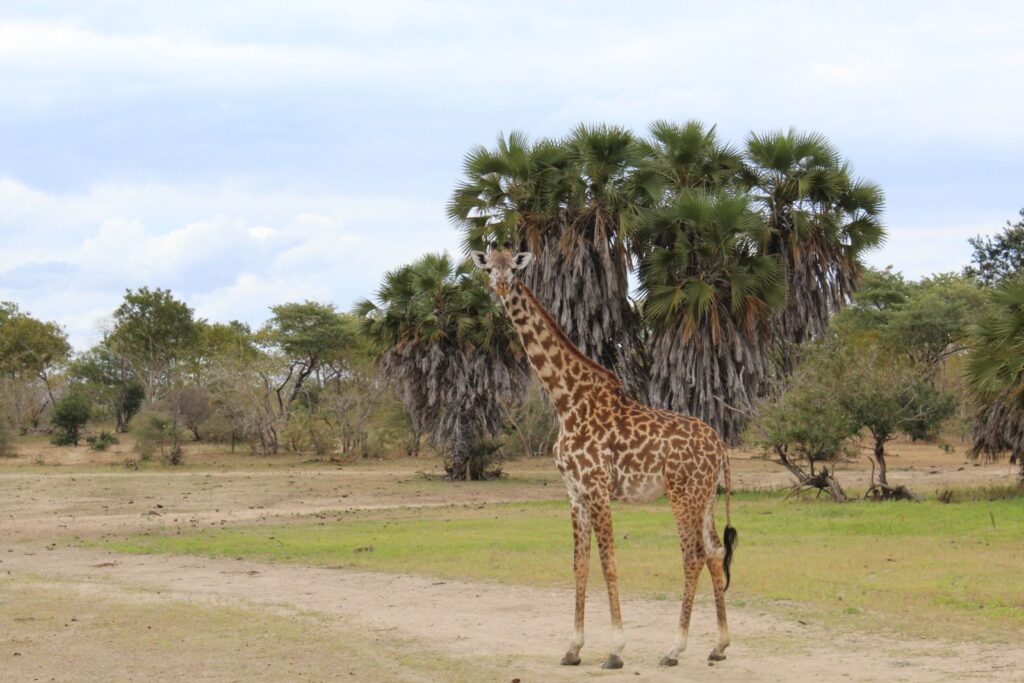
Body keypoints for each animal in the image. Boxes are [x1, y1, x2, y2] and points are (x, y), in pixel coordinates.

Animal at [472, 245, 737, 670]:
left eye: (514, 269)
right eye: (489, 269)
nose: (500, 286)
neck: (567, 402)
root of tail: (720, 445)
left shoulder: (597, 487)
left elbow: (608, 562)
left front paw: (615, 650)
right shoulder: (575, 492)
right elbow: (579, 564)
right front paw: (572, 648)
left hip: (683, 493)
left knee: (692, 556)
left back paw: (674, 649)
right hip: (707, 496)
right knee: (714, 551)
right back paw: (719, 645)